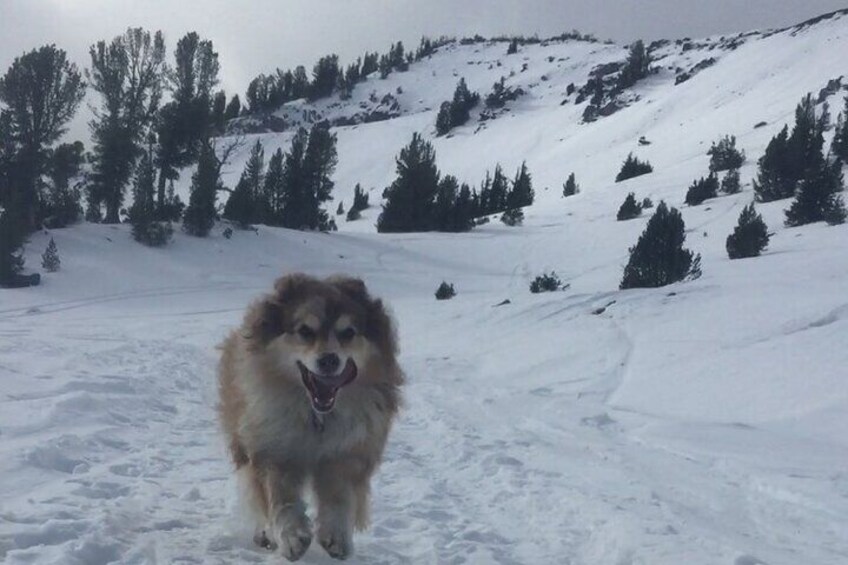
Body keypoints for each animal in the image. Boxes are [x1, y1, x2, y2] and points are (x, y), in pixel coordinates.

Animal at [219, 274, 404, 560]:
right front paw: (292, 537)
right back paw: (264, 534)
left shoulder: (347, 452)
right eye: (305, 331)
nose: (329, 360)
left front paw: (336, 536)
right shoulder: (273, 448)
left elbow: (340, 498)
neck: (317, 418)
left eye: (348, 333)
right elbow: (280, 499)